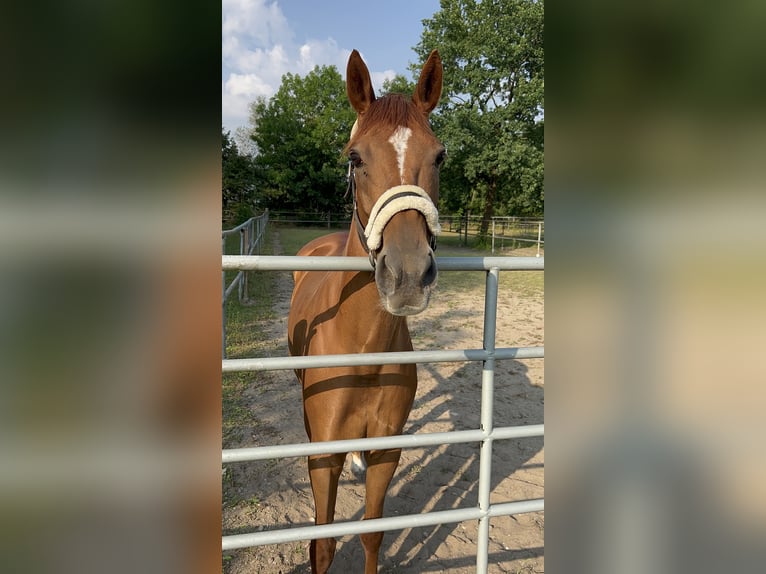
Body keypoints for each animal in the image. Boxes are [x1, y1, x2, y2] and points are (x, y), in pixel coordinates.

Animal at [286, 50, 444, 574]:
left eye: (439, 156)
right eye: (355, 158)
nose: (408, 274)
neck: (364, 350)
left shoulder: (386, 454)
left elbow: (372, 534)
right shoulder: (324, 459)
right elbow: (323, 545)